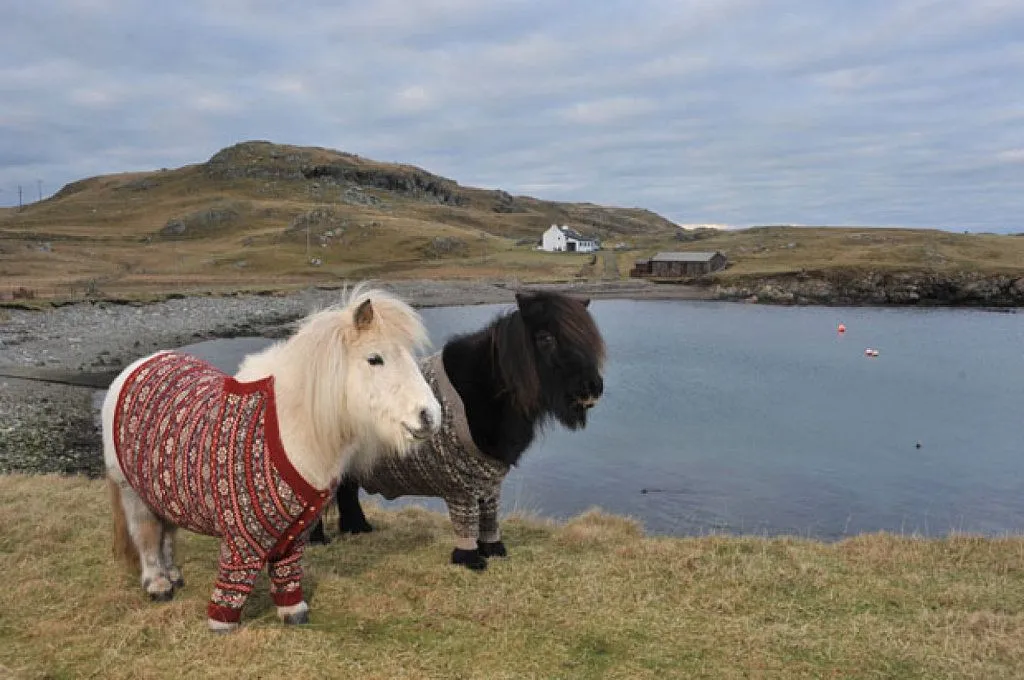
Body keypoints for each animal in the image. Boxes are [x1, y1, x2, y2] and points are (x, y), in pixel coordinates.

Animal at [101, 286, 442, 630]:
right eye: (375, 359)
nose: (430, 416)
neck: (287, 430)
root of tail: (135, 367)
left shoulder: (295, 533)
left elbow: (287, 572)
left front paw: (293, 612)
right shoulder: (240, 537)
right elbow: (235, 578)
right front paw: (222, 623)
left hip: (163, 491)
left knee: (167, 532)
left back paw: (174, 576)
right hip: (133, 491)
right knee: (146, 534)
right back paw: (158, 584)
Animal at [307, 290, 602, 569]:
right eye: (545, 338)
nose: (593, 388)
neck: (484, 392)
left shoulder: (489, 484)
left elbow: (489, 519)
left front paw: (494, 550)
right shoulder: (463, 488)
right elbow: (467, 523)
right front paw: (470, 559)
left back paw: (359, 528)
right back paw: (318, 540)